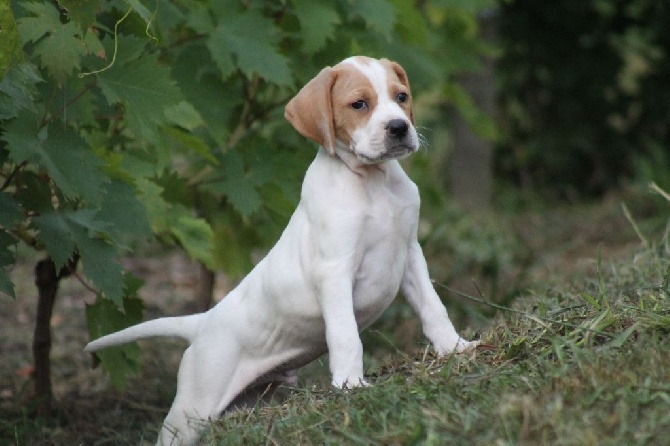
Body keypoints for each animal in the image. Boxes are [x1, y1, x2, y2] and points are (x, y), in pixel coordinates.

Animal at [86, 56, 480, 446]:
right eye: (359, 104)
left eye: (401, 97)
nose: (399, 127)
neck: (374, 183)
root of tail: (203, 321)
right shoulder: (335, 271)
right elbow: (346, 335)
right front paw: (351, 385)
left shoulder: (410, 254)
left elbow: (433, 308)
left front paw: (456, 348)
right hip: (191, 411)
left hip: (245, 399)